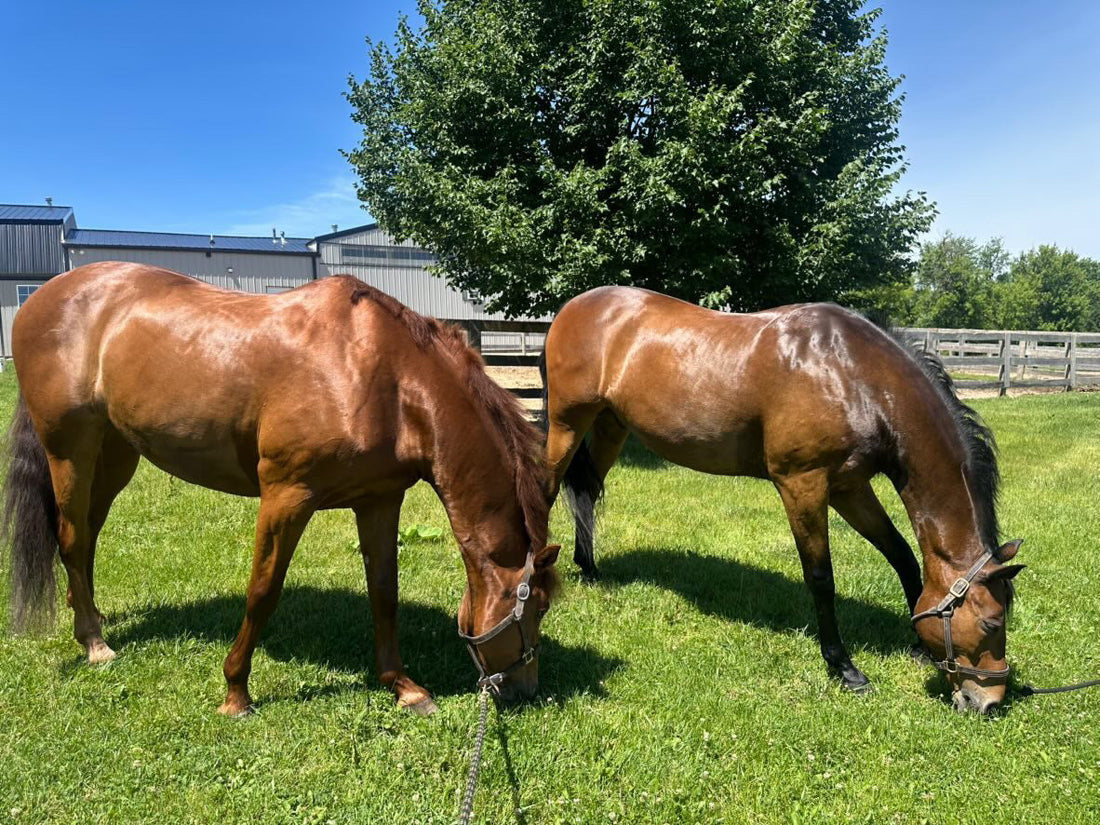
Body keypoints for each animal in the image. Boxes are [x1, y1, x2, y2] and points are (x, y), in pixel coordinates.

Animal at [2, 262, 559, 715]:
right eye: (536, 608)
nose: (526, 689)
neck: (383, 376)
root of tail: (41, 298)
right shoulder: (287, 497)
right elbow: (263, 590)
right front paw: (236, 692)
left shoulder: (379, 500)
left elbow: (384, 593)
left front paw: (404, 687)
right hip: (70, 451)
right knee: (72, 537)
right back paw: (94, 643)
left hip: (116, 454)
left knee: (87, 537)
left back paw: (90, 618)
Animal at [541, 286, 1024, 714]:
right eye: (992, 621)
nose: (990, 701)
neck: (853, 376)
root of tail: (571, 308)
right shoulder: (803, 485)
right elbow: (821, 578)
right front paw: (845, 668)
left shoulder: (849, 487)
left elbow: (902, 554)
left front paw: (918, 645)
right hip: (568, 423)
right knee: (546, 491)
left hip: (611, 425)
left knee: (587, 491)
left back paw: (589, 567)